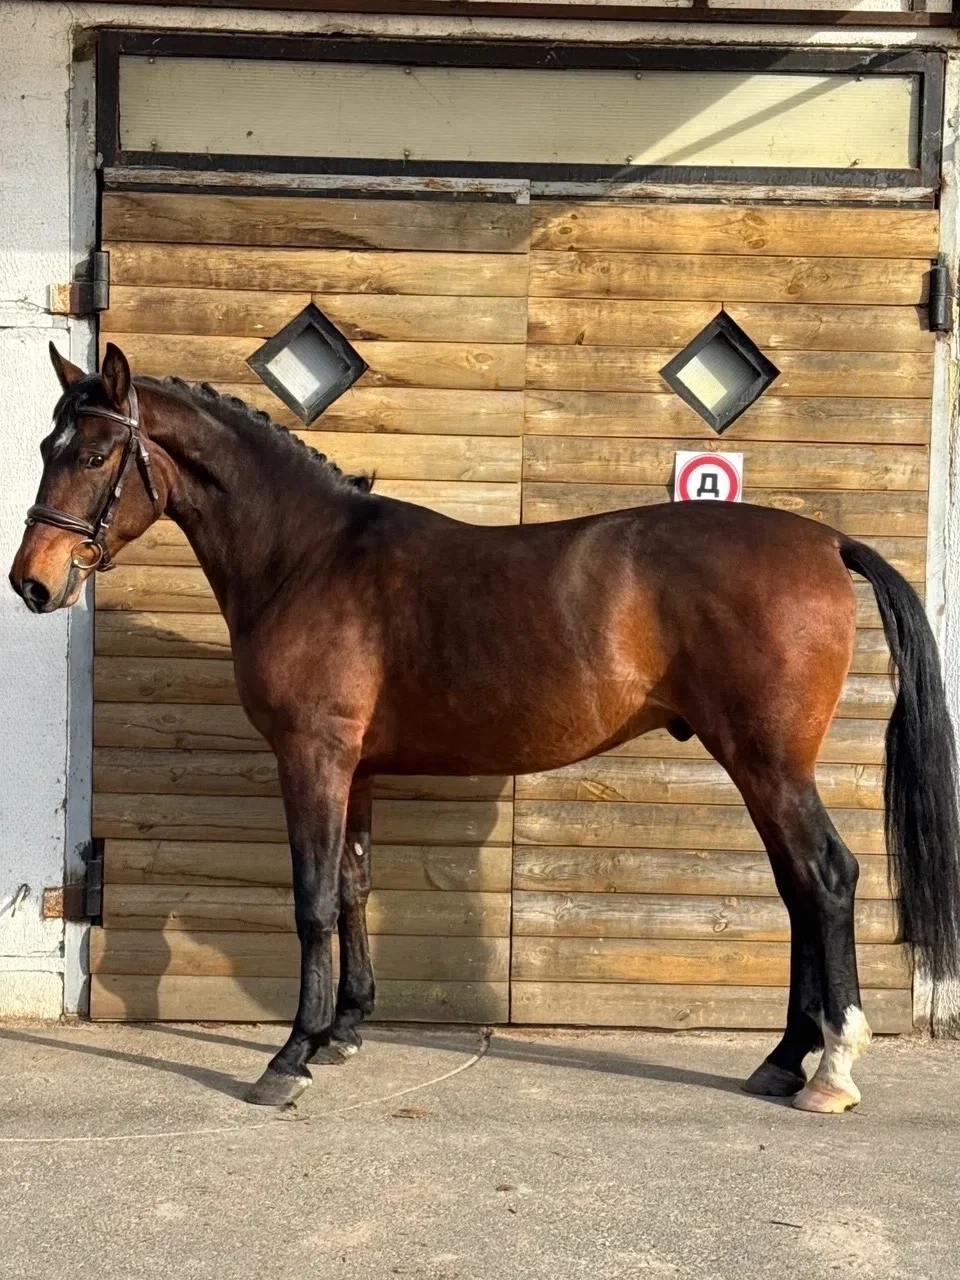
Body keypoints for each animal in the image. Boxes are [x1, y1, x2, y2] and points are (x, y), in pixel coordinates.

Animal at [10, 342, 960, 1113]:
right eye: (47, 448)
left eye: (92, 453)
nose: (31, 581)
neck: (310, 557)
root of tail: (825, 540)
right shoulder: (355, 769)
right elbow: (352, 888)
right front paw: (344, 1032)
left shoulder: (313, 758)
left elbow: (311, 900)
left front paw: (289, 1058)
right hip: (761, 766)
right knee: (799, 889)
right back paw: (783, 1059)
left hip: (768, 762)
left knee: (826, 878)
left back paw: (830, 1069)